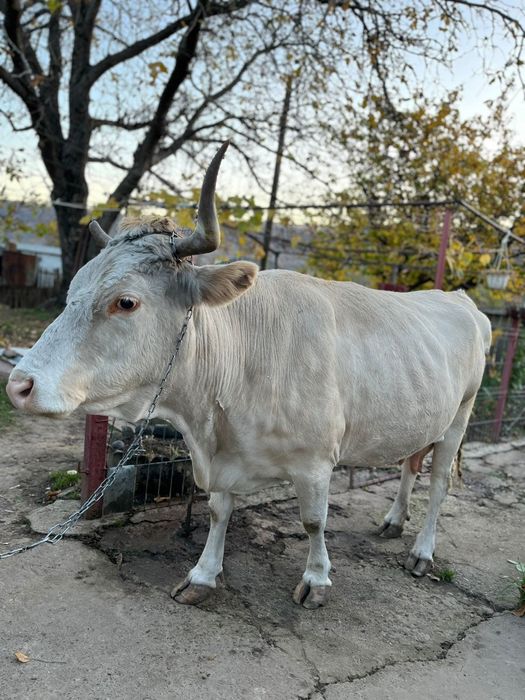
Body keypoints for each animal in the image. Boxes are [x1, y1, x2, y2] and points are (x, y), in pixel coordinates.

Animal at [6, 143, 491, 609]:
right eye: (72, 291)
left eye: (126, 301)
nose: (18, 385)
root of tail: (458, 298)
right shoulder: (223, 456)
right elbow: (219, 511)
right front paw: (203, 575)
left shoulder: (315, 461)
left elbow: (313, 521)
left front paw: (317, 579)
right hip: (425, 415)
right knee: (411, 463)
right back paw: (393, 521)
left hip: (460, 417)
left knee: (440, 483)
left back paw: (422, 552)